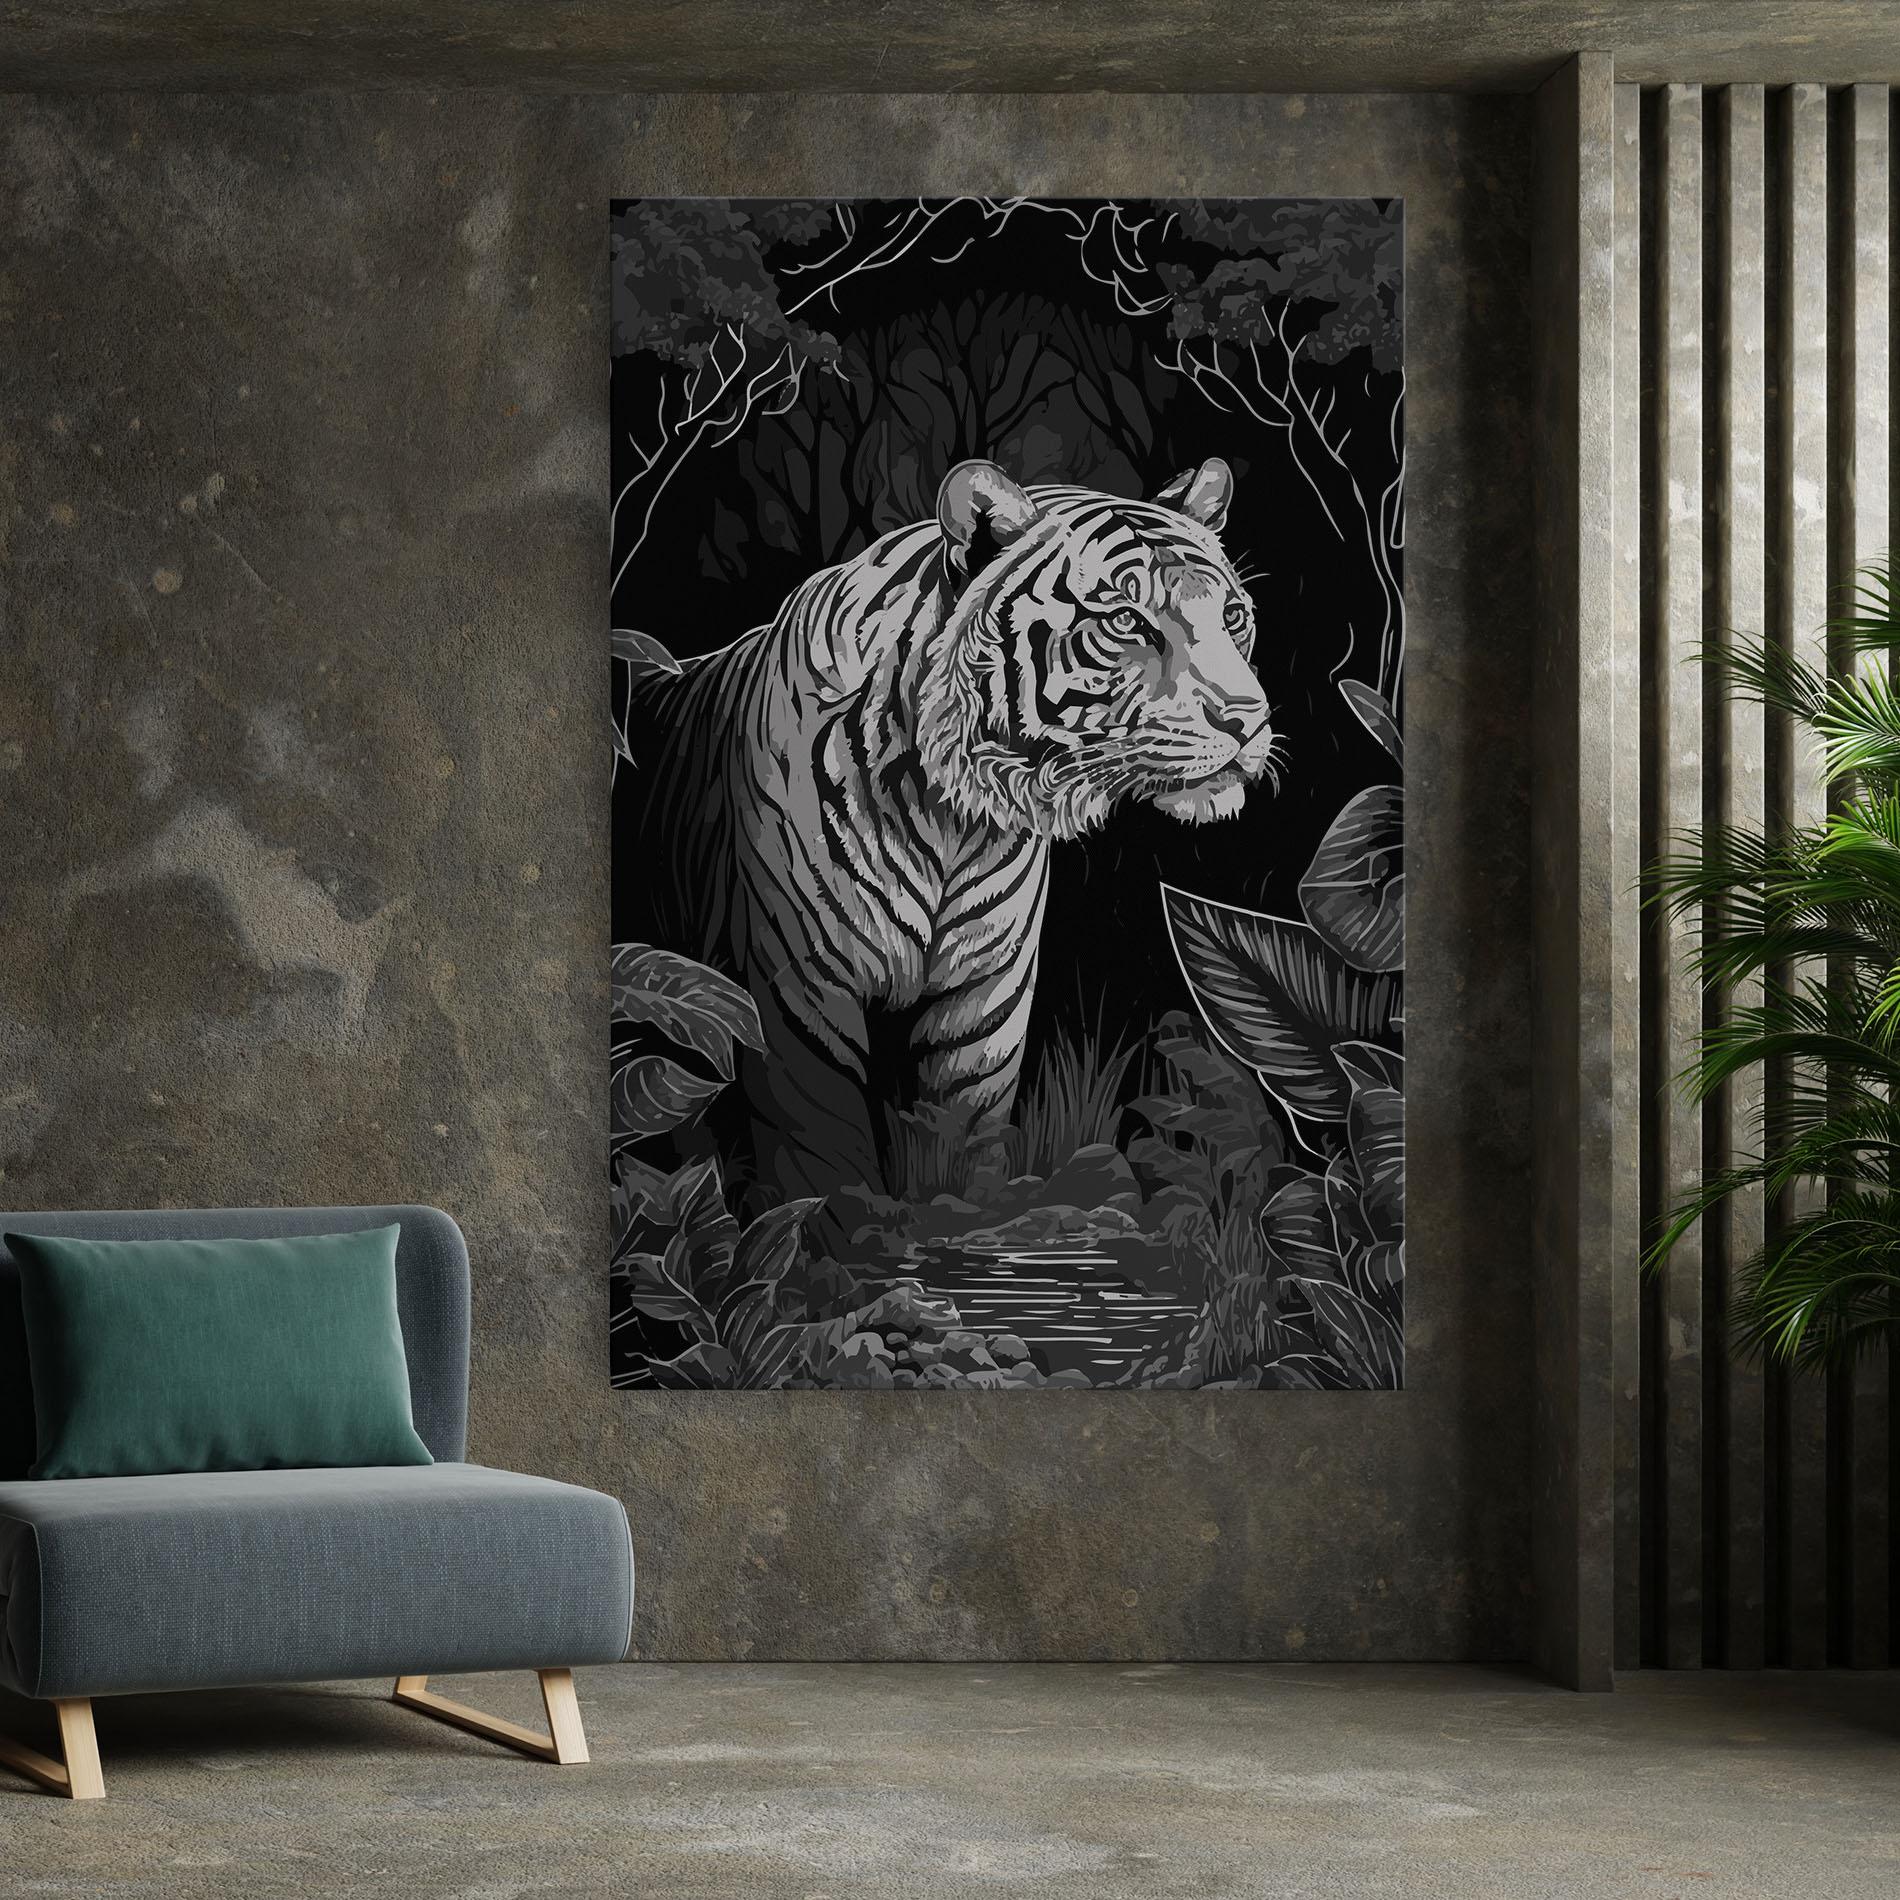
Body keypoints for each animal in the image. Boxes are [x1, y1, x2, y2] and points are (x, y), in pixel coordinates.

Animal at [624, 457, 1276, 1206]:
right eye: (1124, 620)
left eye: (1231, 616)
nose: (1248, 720)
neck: (953, 820)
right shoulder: (798, 998)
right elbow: (821, 1165)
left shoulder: (985, 1001)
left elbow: (964, 1144)